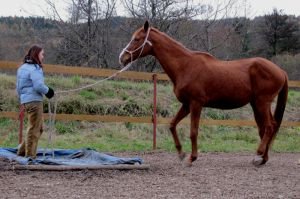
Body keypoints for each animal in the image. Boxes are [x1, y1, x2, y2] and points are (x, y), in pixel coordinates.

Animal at [119, 20, 288, 166]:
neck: (185, 66)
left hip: (262, 103)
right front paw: (181, 153)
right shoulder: (186, 105)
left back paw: (258, 155)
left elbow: (193, 131)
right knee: (266, 128)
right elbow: (172, 125)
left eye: (136, 39)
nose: (122, 57)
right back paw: (263, 159)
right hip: (257, 105)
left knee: (269, 127)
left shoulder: (196, 104)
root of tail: (281, 71)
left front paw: (192, 158)